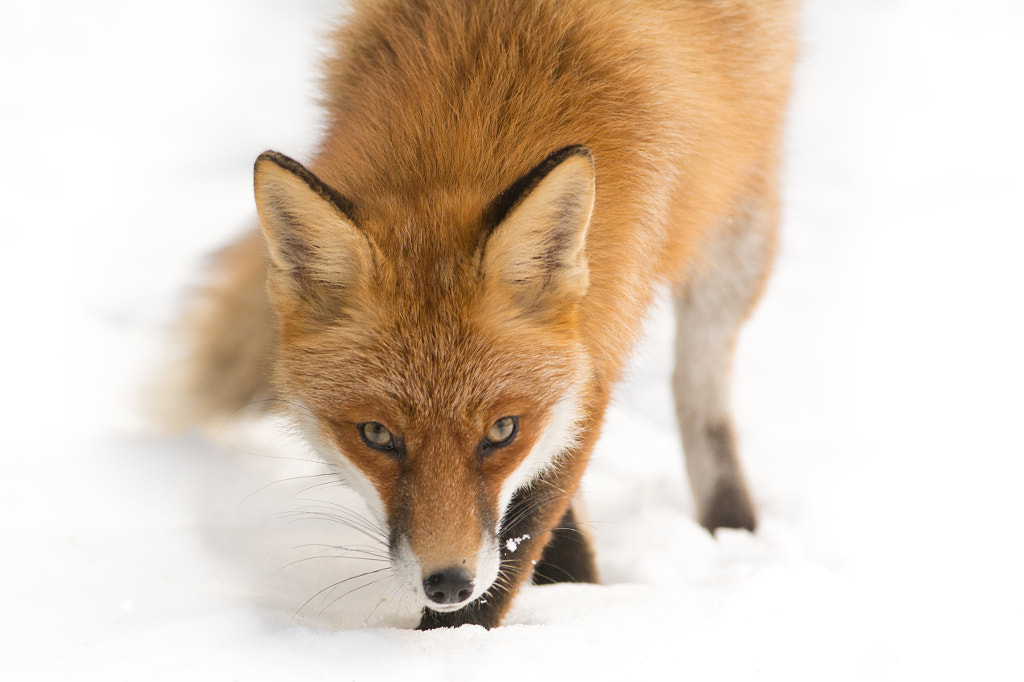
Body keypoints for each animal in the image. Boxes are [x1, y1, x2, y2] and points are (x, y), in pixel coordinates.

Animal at [172, 0, 798, 626]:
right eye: (376, 435)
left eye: (502, 430)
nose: (448, 583)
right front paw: (570, 581)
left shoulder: (598, 347)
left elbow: (529, 517)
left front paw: (457, 637)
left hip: (737, 233)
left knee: (700, 388)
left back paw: (729, 523)